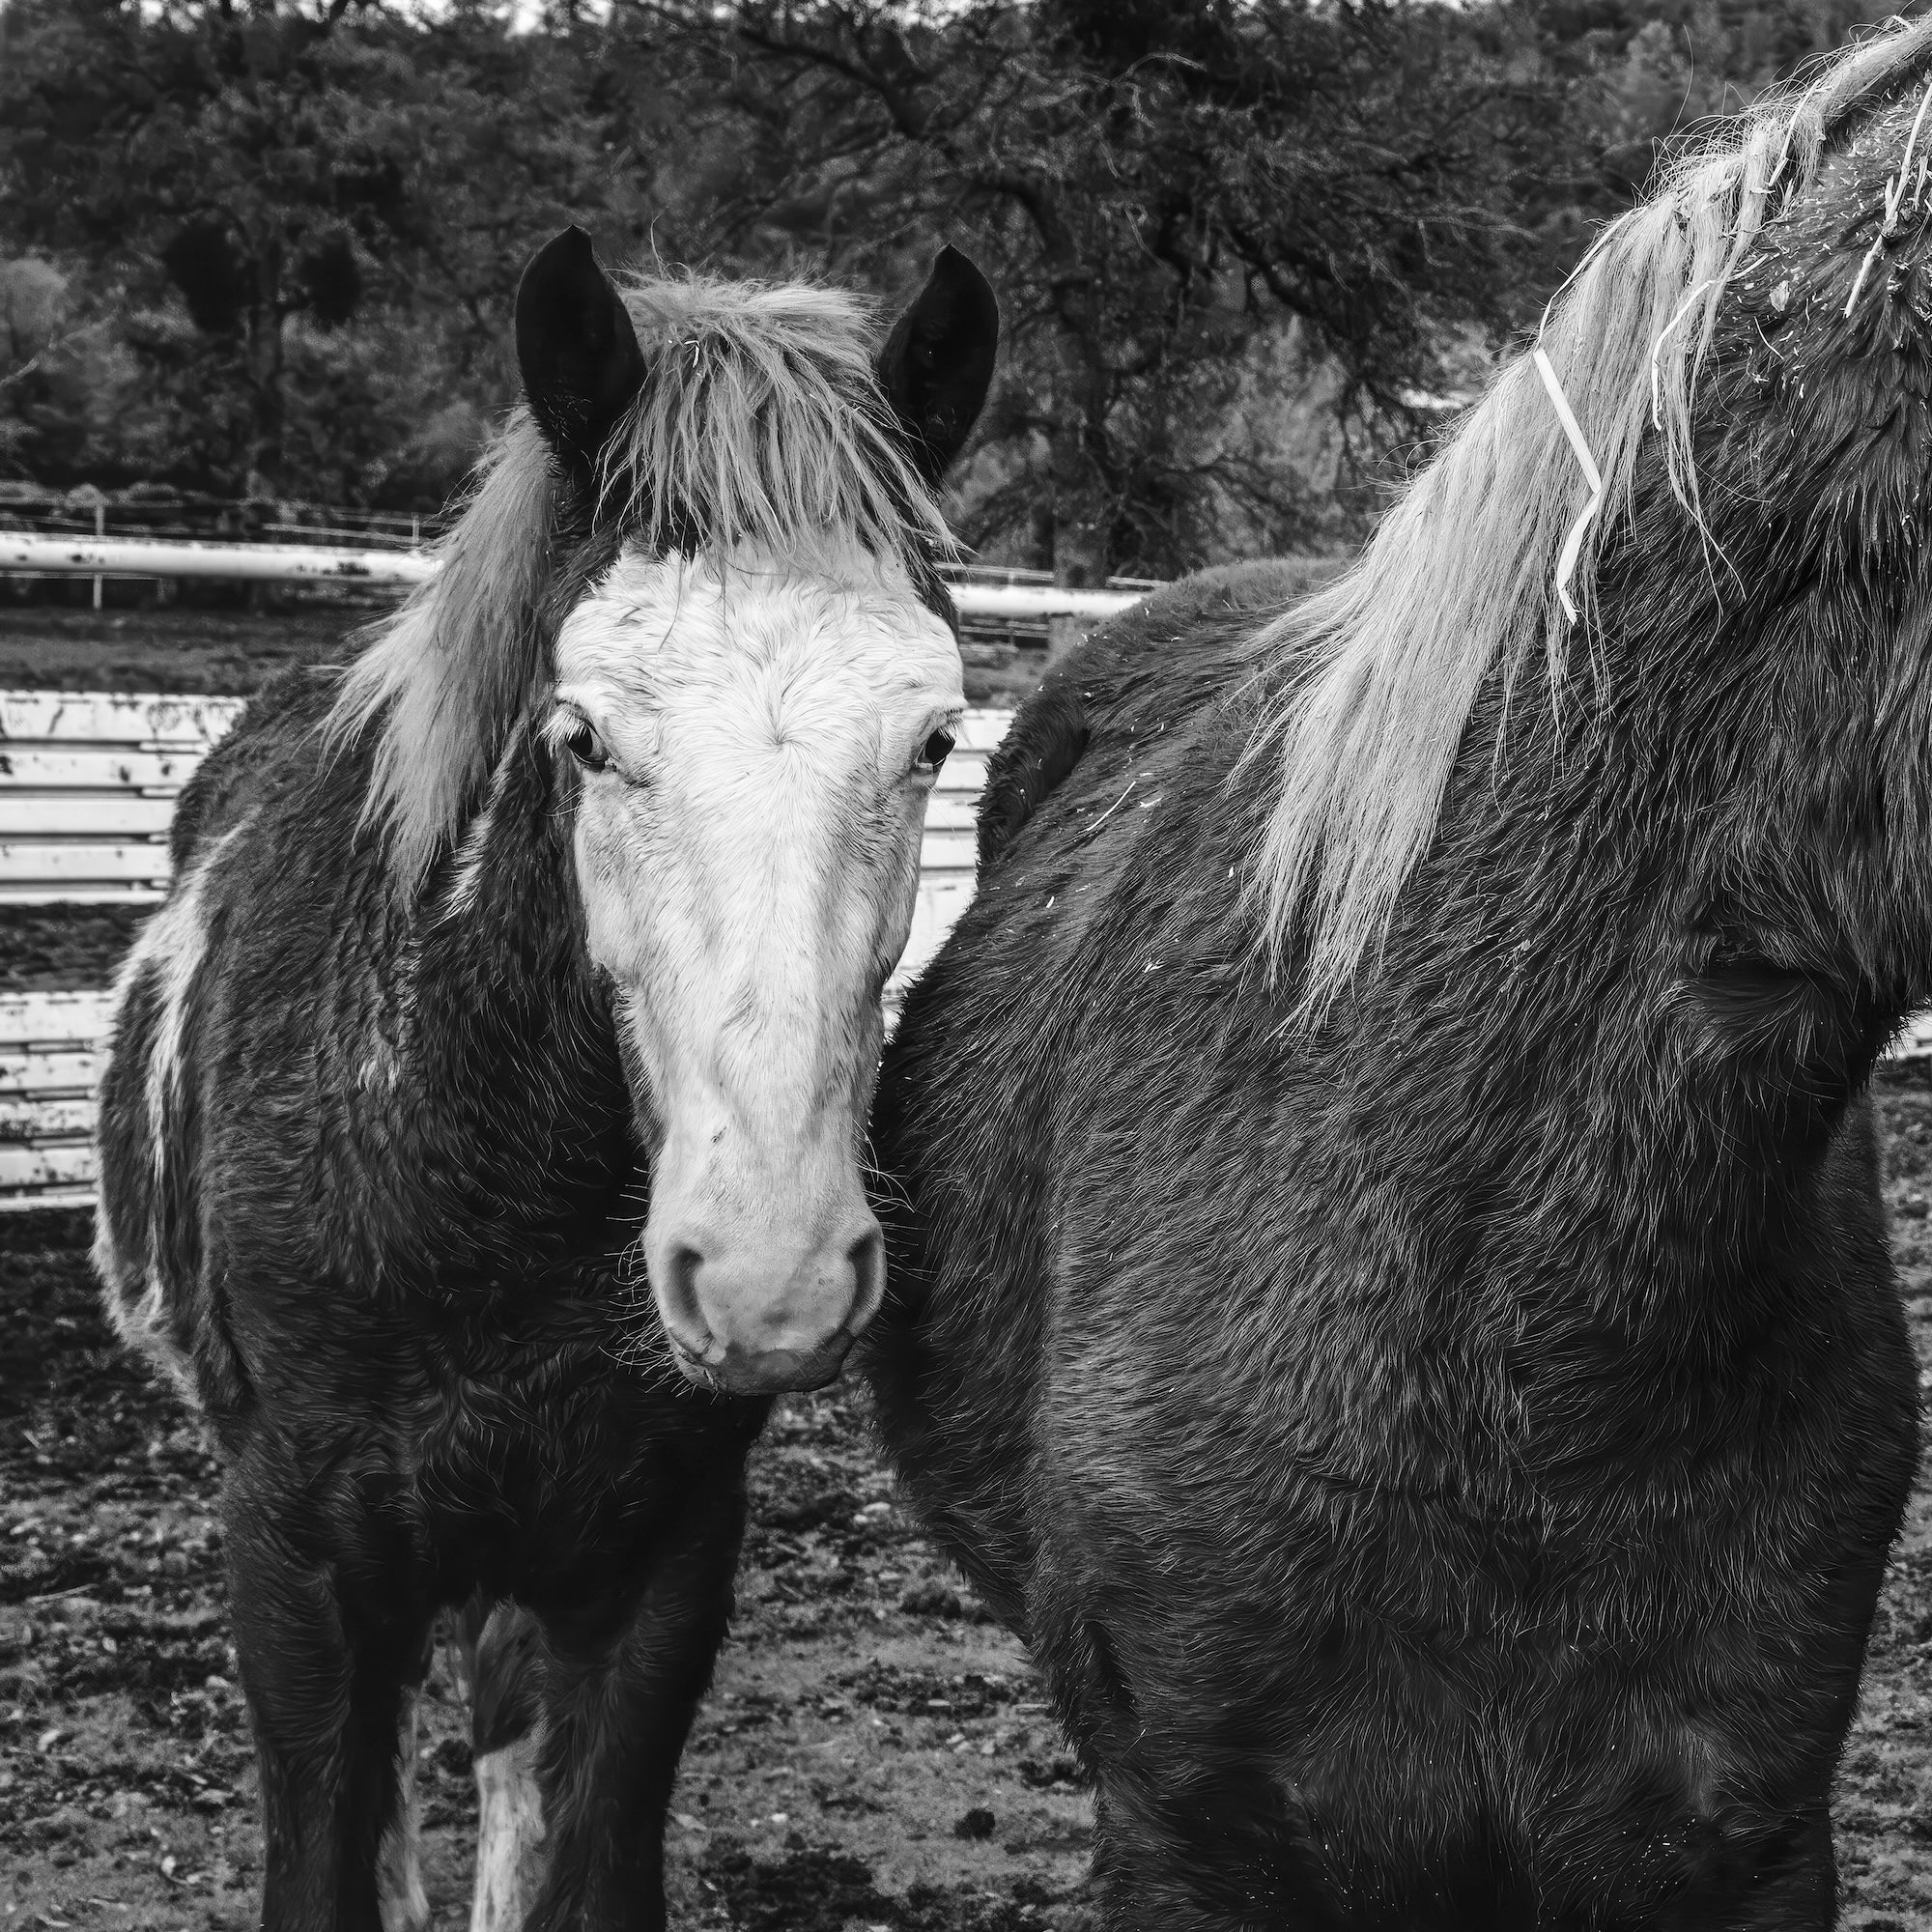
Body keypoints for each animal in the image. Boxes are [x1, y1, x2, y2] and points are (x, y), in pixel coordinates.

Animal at [90, 225, 997, 1932]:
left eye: (933, 740)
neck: (472, 1182)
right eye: (583, 737)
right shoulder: (294, 1566)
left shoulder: (654, 1571)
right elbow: (328, 1852)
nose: (772, 1274)